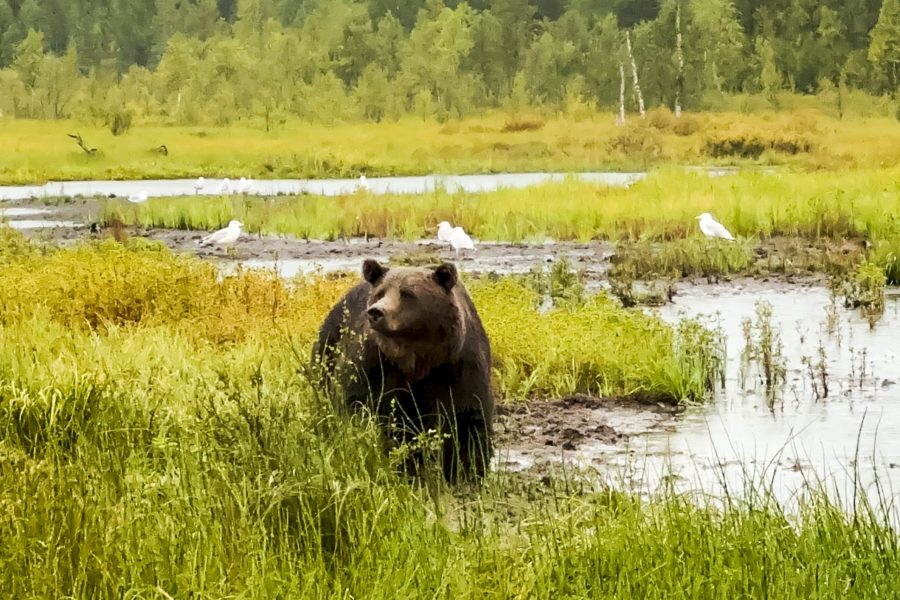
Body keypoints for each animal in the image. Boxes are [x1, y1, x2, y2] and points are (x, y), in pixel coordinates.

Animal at [312, 258, 494, 482]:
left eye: (407, 293)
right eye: (380, 292)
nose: (376, 312)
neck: (416, 357)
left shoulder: (458, 366)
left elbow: (468, 418)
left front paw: (467, 473)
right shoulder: (374, 364)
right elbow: (355, 403)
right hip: (328, 345)